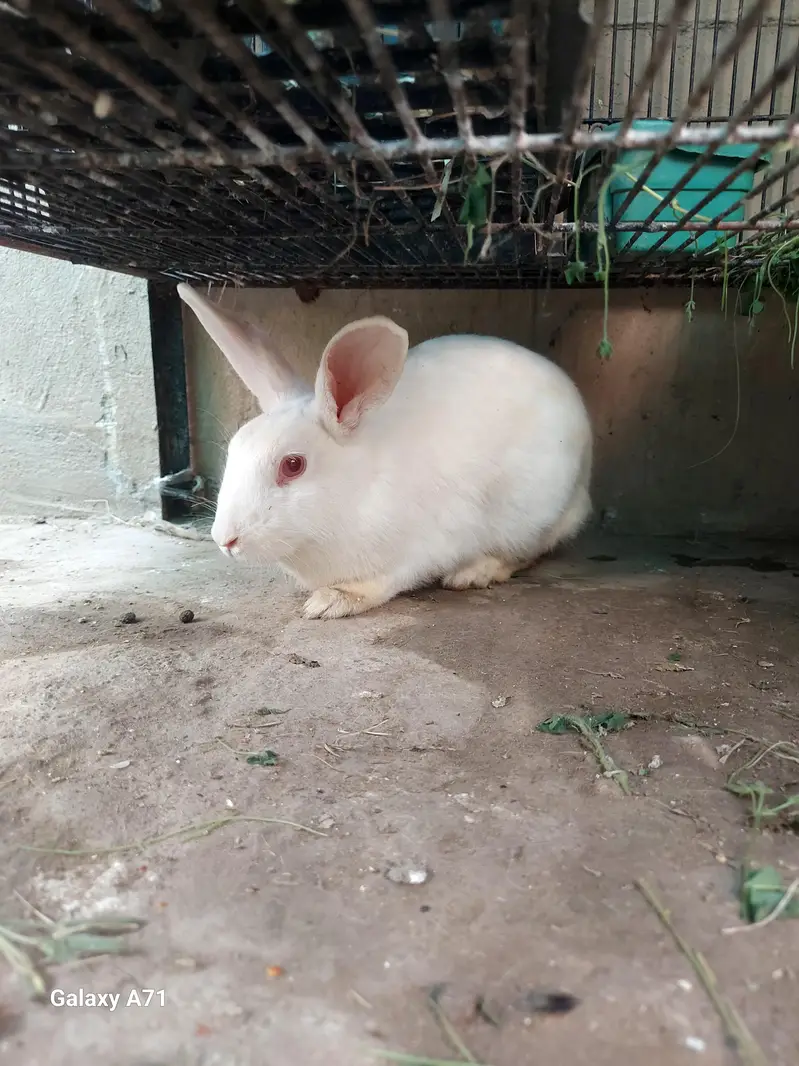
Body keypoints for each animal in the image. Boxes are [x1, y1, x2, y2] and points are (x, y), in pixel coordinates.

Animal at [178, 284, 593, 620]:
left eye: (293, 465)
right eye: (235, 448)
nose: (225, 540)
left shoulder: (422, 547)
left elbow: (383, 583)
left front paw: (330, 601)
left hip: (532, 513)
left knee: (527, 552)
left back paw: (474, 573)